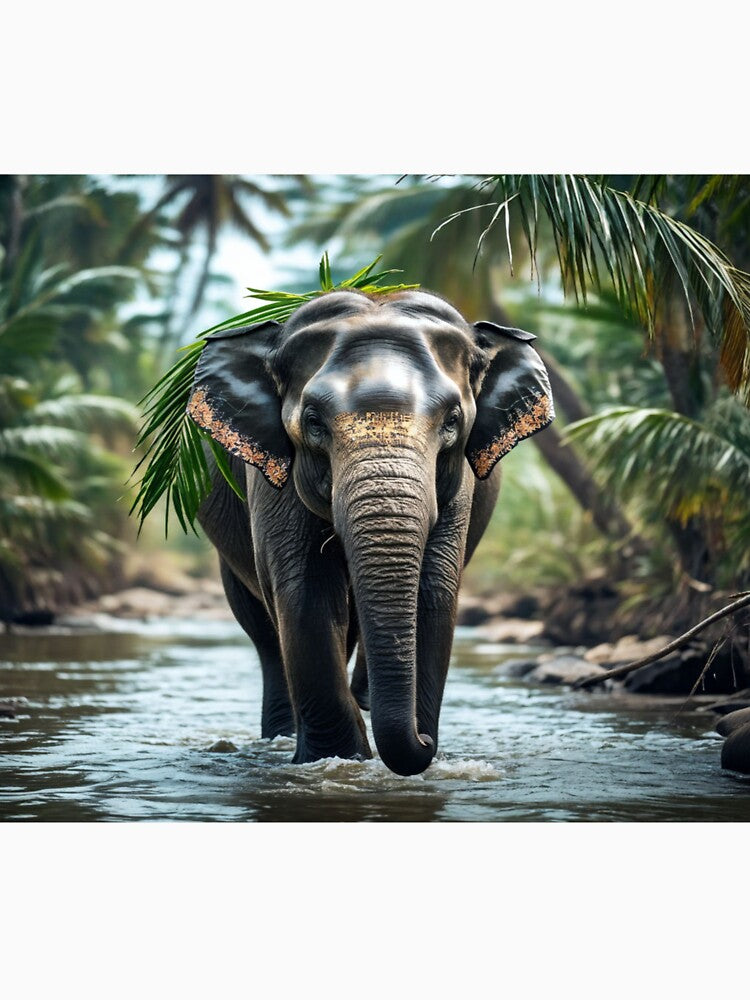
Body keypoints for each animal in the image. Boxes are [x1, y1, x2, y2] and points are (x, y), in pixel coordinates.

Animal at [188, 288, 554, 776]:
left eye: (453, 420)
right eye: (313, 421)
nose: (425, 739)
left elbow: (435, 590)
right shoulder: (271, 477)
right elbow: (306, 592)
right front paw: (337, 759)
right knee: (266, 632)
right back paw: (285, 736)